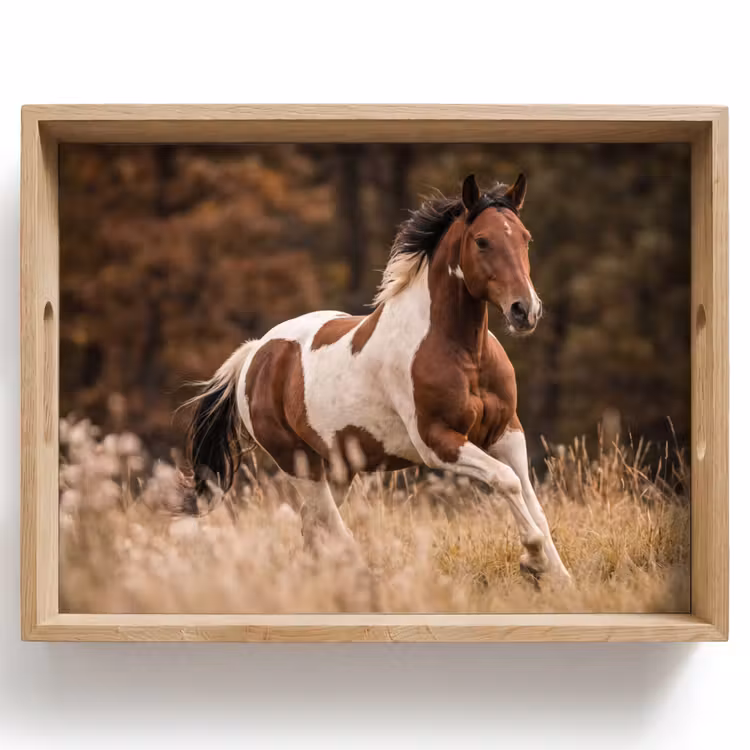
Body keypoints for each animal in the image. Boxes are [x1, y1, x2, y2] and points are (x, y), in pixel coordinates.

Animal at [182, 173, 571, 582]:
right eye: (482, 241)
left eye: (525, 238)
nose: (525, 310)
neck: (464, 353)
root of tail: (256, 352)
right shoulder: (438, 442)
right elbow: (506, 481)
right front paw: (533, 560)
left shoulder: (506, 433)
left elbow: (532, 501)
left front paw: (560, 577)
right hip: (298, 462)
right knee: (329, 525)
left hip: (339, 466)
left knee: (312, 524)